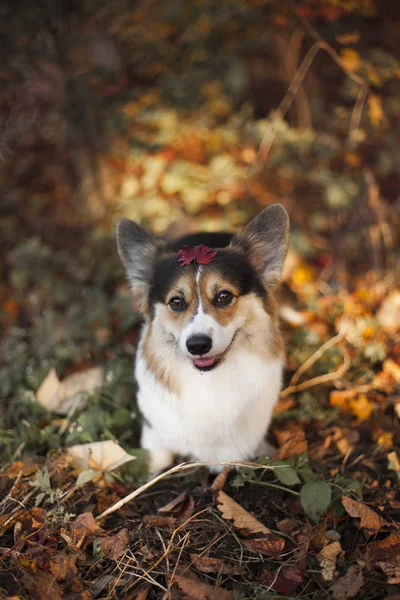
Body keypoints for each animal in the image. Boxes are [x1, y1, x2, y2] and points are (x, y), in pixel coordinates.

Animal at [117, 204, 290, 476]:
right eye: (176, 302)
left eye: (224, 296)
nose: (197, 345)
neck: (209, 379)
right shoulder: (155, 437)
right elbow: (155, 462)